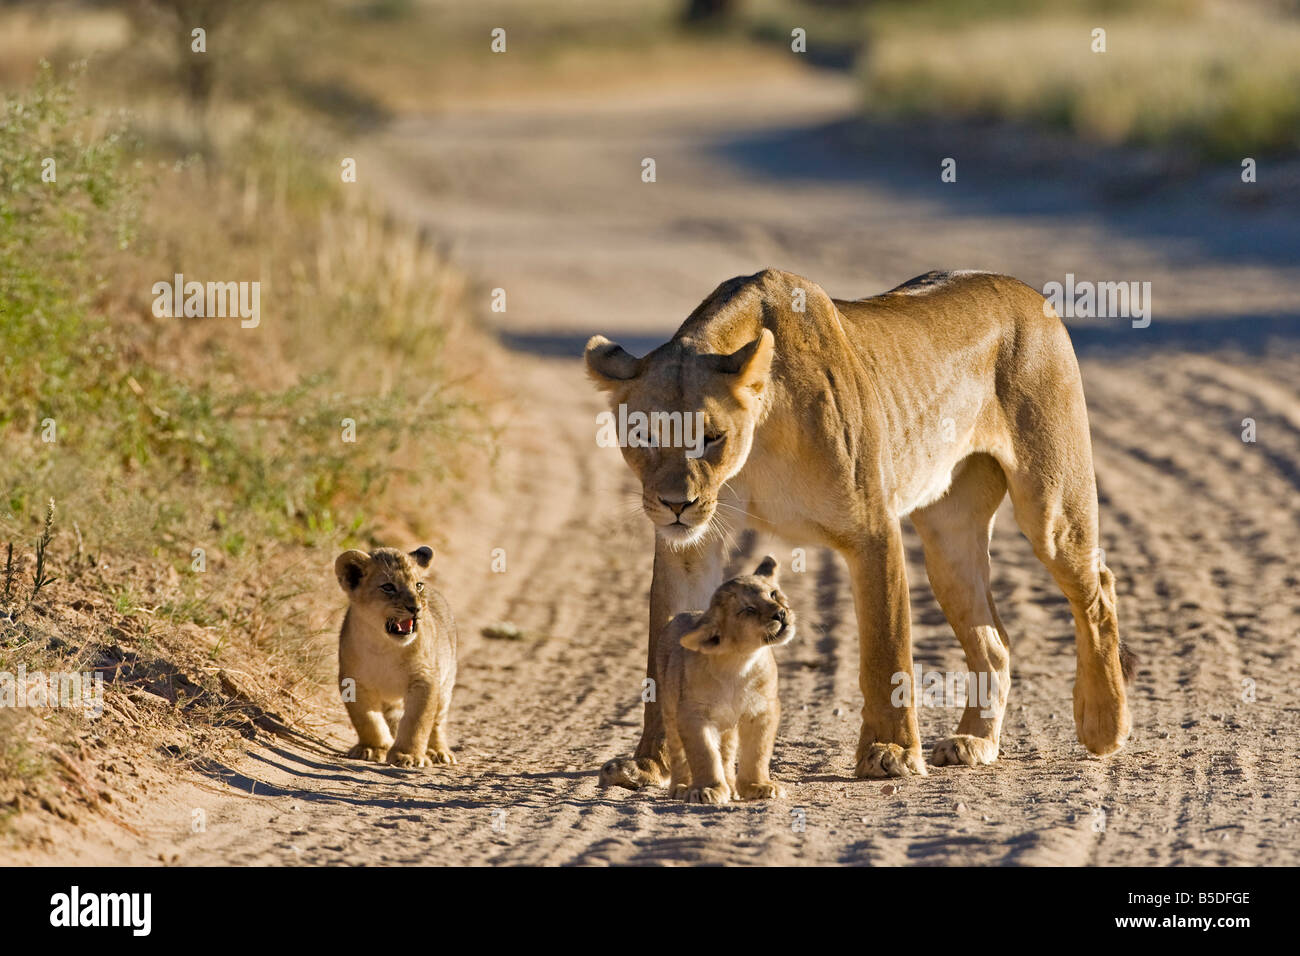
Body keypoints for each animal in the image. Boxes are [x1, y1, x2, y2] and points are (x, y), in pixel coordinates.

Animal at [334, 546, 458, 768]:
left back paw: (438, 751)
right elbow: (367, 719)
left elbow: (417, 721)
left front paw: (408, 756)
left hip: (446, 684)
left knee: (437, 721)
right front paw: (373, 749)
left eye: (418, 585)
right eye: (388, 587)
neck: (385, 646)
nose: (415, 608)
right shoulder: (353, 681)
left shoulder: (425, 679)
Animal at [657, 555, 794, 805]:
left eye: (773, 594)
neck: (738, 663)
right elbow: (704, 753)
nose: (781, 614)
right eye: (748, 609)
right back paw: (682, 786)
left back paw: (731, 786)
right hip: (670, 708)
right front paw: (707, 789)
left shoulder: (763, 709)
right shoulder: (692, 714)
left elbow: (757, 752)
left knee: (728, 754)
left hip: (728, 726)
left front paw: (758, 786)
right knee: (678, 751)